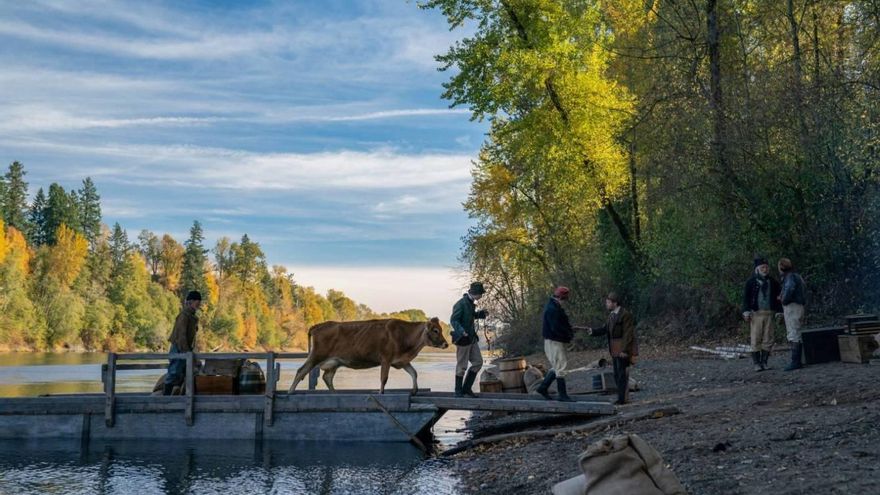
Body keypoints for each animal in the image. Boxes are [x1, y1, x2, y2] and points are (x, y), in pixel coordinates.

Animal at [288, 317, 449, 394]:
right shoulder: (386, 358)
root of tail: (317, 326)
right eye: (435, 330)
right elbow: (384, 378)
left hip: (334, 362)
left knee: (327, 377)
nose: (446, 344)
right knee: (301, 371)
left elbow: (414, 373)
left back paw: (335, 393)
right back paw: (290, 392)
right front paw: (380, 392)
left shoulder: (401, 361)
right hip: (317, 355)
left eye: (440, 329)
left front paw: (415, 390)